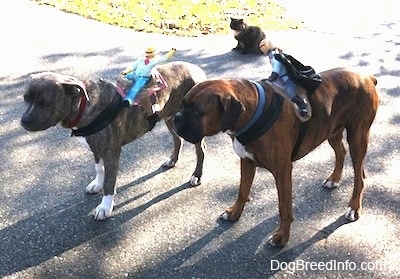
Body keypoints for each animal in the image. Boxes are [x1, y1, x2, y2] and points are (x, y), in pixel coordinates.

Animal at [19, 60, 206, 221]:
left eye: (45, 103)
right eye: (25, 98)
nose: (24, 120)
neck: (83, 105)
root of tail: (197, 69)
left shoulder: (111, 153)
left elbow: (110, 183)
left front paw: (105, 207)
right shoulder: (96, 148)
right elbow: (99, 169)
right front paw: (97, 184)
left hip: (192, 126)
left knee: (200, 150)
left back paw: (196, 176)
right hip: (170, 118)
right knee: (177, 139)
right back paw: (172, 160)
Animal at [174, 68, 378, 247]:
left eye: (195, 111)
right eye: (182, 104)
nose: (176, 118)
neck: (254, 112)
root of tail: (367, 77)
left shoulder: (282, 172)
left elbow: (284, 208)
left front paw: (282, 237)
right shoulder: (247, 162)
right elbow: (242, 191)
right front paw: (234, 213)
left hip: (357, 137)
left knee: (360, 176)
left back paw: (353, 208)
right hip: (331, 130)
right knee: (340, 152)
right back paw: (334, 179)